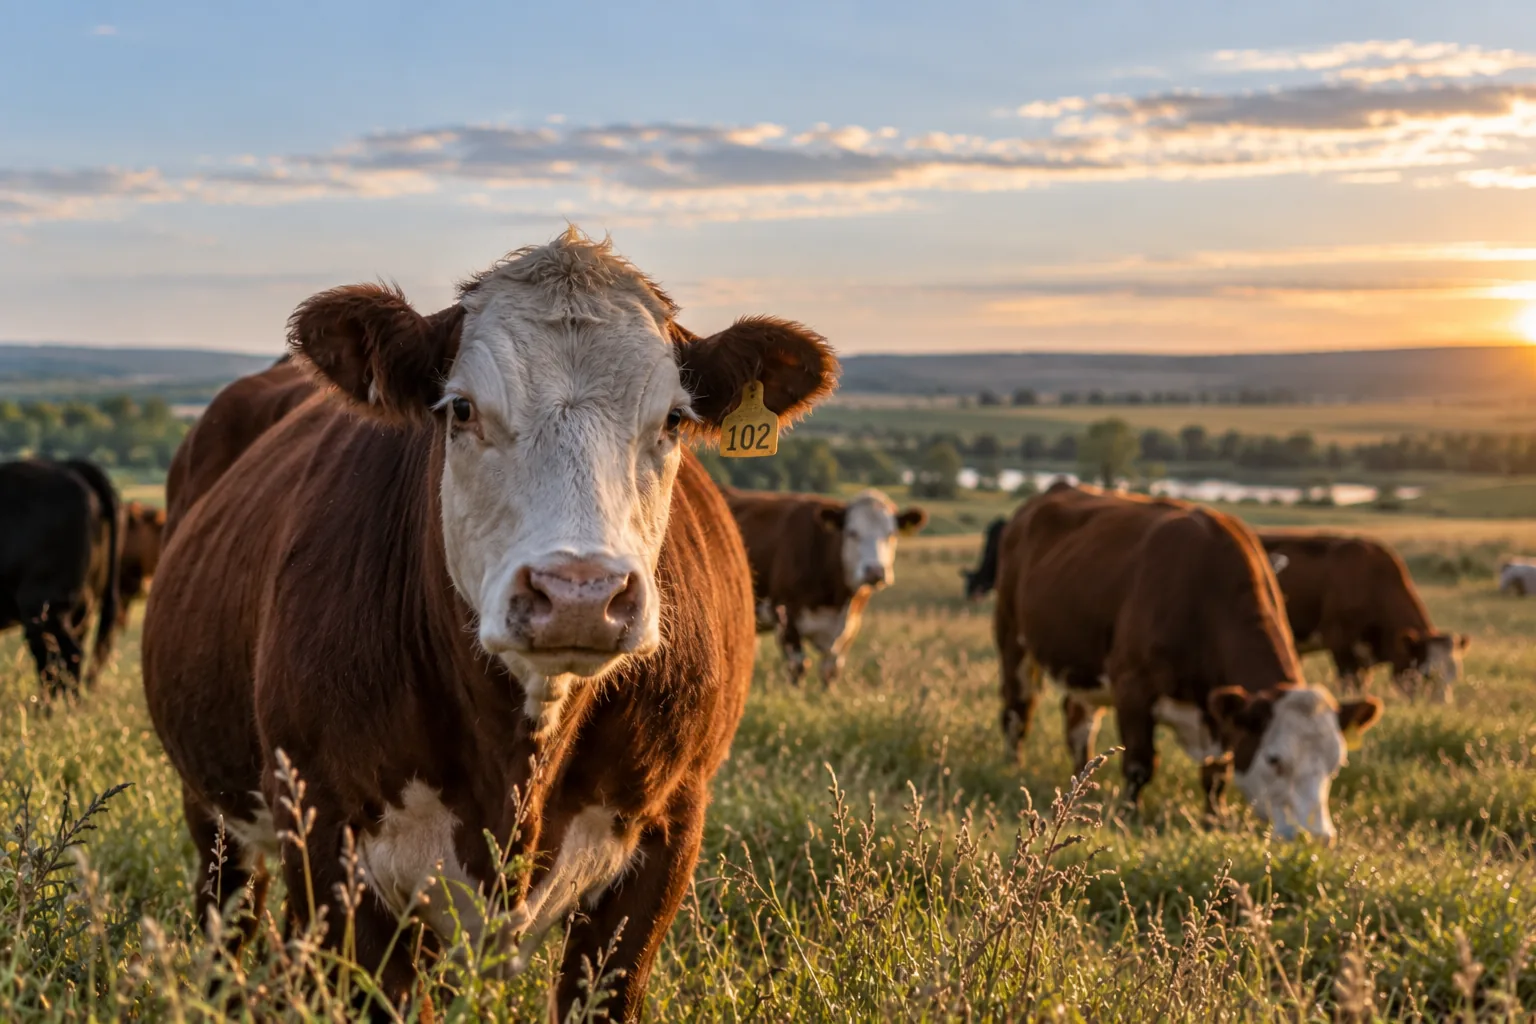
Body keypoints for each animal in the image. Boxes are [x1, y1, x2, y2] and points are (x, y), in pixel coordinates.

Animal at [141, 229, 838, 1021]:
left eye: (672, 420)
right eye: (463, 410)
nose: (578, 592)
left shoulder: (669, 829)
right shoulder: (324, 829)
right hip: (216, 816)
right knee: (229, 932)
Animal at [723, 487, 926, 685]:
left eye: (891, 534)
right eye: (852, 532)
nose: (875, 572)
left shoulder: (849, 626)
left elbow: (830, 671)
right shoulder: (785, 617)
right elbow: (798, 667)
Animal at [994, 483, 1383, 843]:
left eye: (1336, 763)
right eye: (1274, 759)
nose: (1316, 837)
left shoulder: (1220, 713)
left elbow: (1217, 773)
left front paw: (1215, 818)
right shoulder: (1132, 687)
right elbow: (1140, 764)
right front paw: (1128, 816)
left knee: (1078, 722)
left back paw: (1082, 783)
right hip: (1012, 638)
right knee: (1017, 712)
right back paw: (1014, 767)